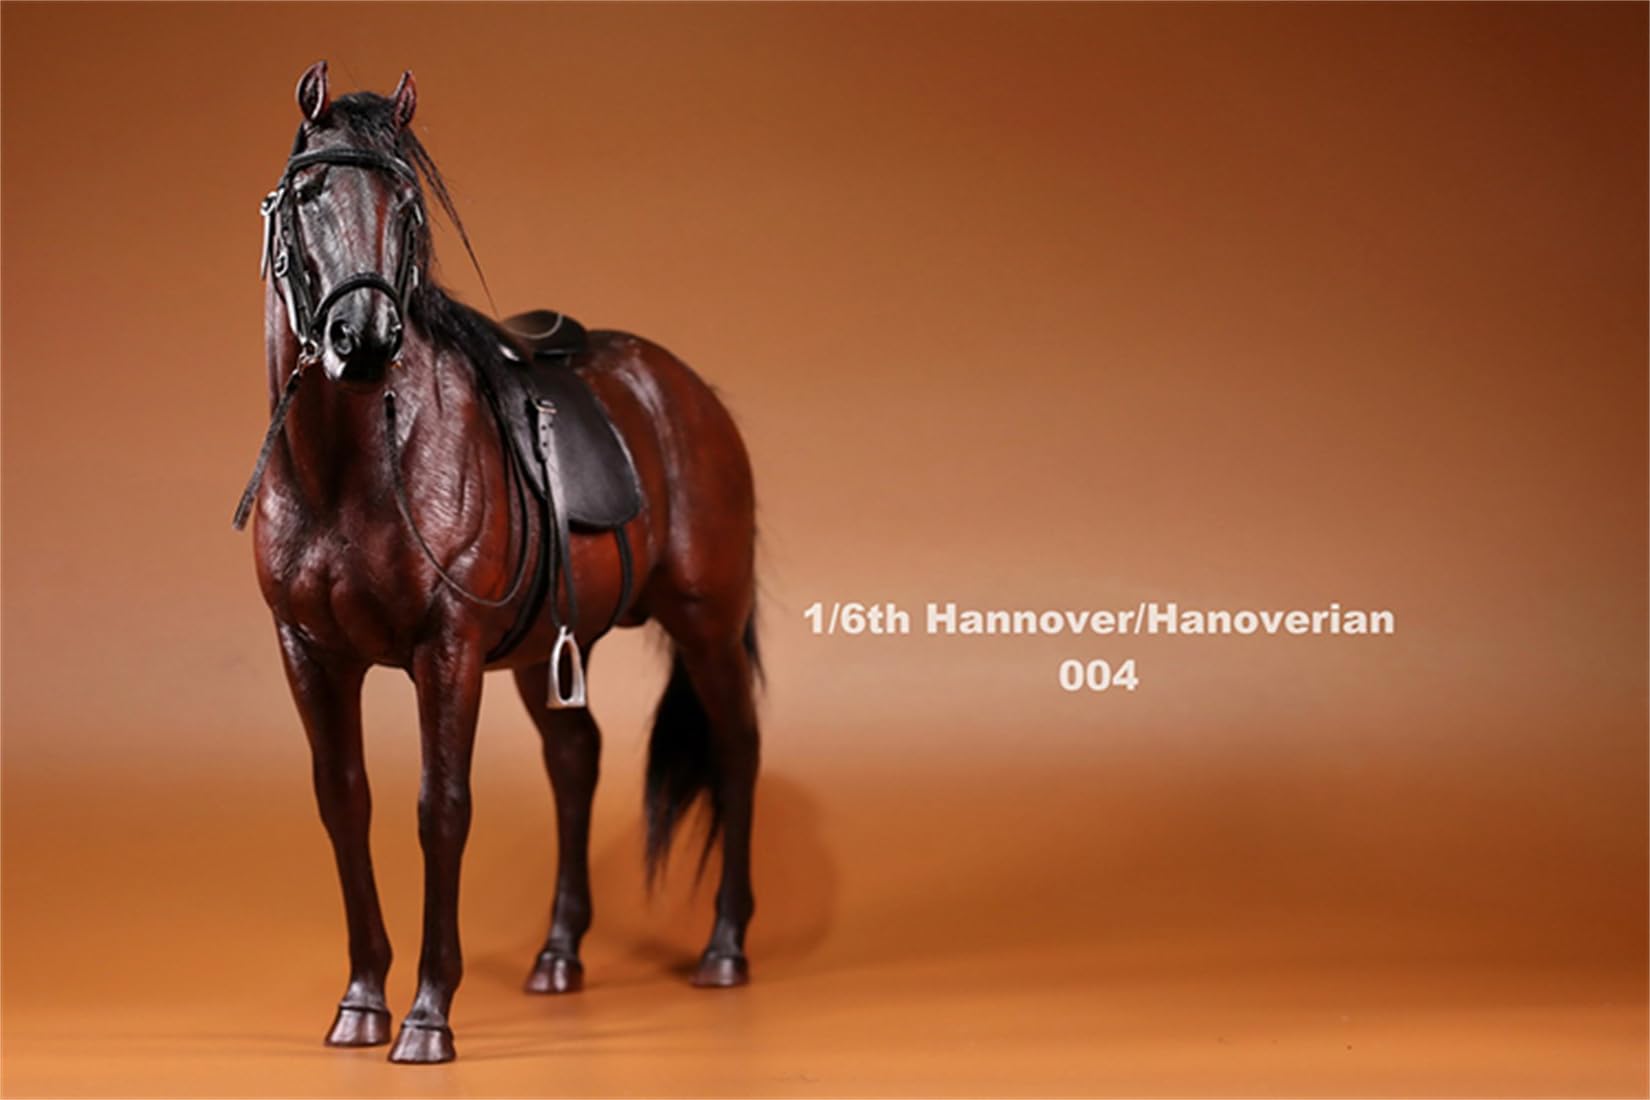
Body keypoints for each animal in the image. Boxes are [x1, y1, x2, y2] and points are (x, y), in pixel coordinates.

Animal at [235, 61, 762, 1064]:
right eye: (309, 196)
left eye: (407, 205)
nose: (364, 340)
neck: (350, 465)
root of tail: (683, 390)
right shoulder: (307, 653)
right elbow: (345, 803)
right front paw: (361, 1002)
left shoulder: (447, 653)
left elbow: (442, 808)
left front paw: (428, 1015)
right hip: (546, 650)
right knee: (576, 759)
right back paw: (559, 956)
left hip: (706, 622)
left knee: (735, 749)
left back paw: (723, 948)